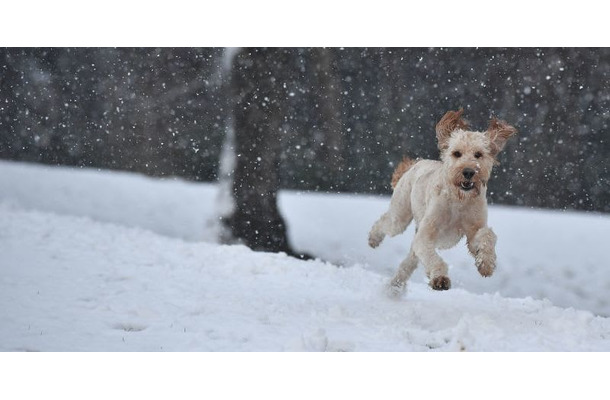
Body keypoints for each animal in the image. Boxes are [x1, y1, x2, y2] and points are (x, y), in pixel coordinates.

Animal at [368, 108, 516, 294]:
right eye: (457, 153)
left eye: (478, 154)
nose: (468, 172)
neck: (459, 201)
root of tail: (416, 163)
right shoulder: (426, 234)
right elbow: (433, 258)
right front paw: (440, 279)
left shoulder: (473, 230)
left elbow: (487, 235)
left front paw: (486, 264)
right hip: (400, 215)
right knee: (386, 222)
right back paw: (373, 239)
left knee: (407, 264)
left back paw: (395, 287)